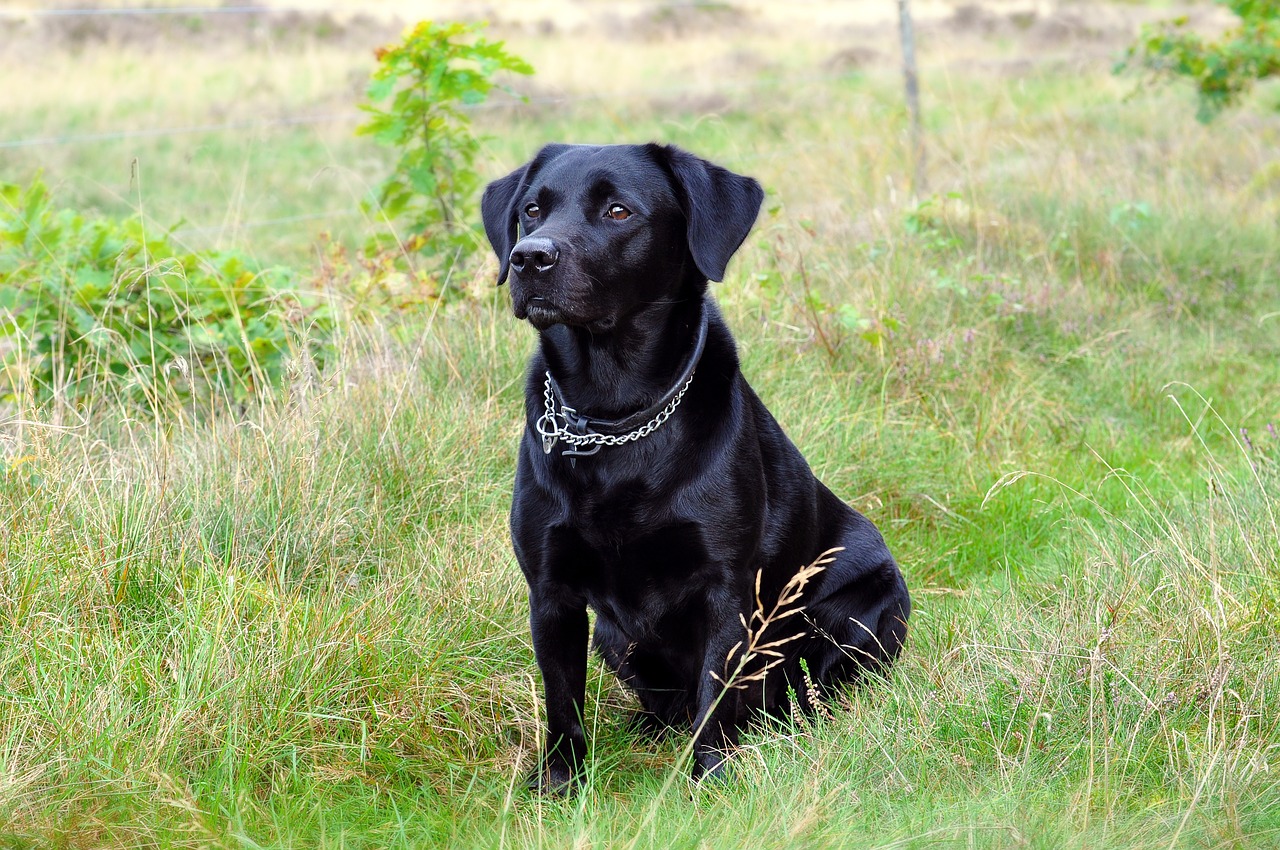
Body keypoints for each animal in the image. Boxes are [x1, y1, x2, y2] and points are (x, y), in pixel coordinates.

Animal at [481, 140, 911, 788]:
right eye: (532, 210)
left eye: (618, 211)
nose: (530, 258)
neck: (614, 417)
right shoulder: (551, 591)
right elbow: (563, 701)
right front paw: (560, 782)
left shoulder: (725, 587)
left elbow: (716, 695)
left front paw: (710, 779)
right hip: (615, 636)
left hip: (864, 609)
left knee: (802, 690)